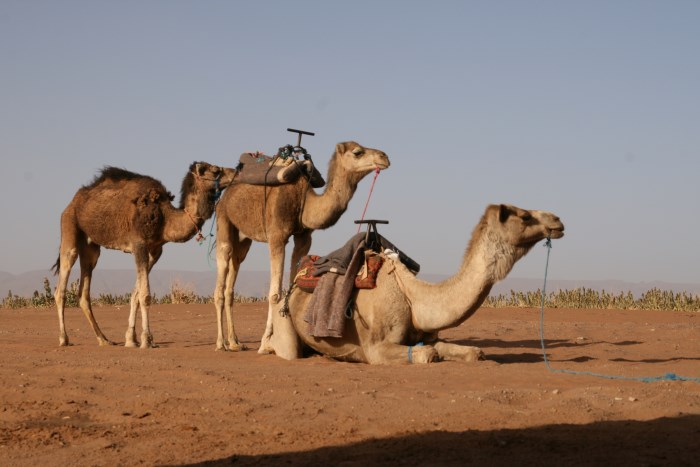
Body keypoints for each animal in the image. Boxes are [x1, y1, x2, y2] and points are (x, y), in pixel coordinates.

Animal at [52, 161, 238, 348]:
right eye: (215, 170)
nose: (236, 172)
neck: (165, 217)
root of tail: (72, 202)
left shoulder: (155, 250)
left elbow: (136, 293)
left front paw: (131, 339)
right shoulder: (139, 244)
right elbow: (145, 295)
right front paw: (147, 340)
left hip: (91, 247)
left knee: (84, 290)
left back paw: (103, 339)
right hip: (69, 227)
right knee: (61, 286)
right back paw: (63, 338)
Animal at [213, 141, 388, 352]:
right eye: (357, 152)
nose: (384, 157)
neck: (305, 202)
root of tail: (226, 193)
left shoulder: (304, 237)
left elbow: (292, 286)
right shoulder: (277, 236)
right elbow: (274, 294)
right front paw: (266, 343)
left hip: (243, 239)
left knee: (233, 275)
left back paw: (235, 342)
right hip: (224, 219)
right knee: (222, 270)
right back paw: (221, 343)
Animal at [266, 203, 568, 364]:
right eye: (525, 215)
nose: (557, 219)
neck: (413, 297)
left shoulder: (429, 334)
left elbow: (471, 351)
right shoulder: (376, 348)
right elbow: (428, 355)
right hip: (284, 320)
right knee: (289, 350)